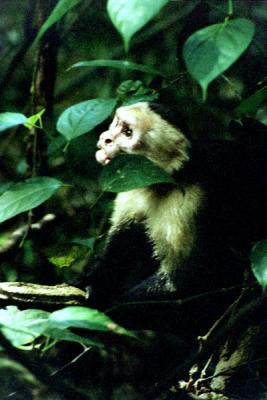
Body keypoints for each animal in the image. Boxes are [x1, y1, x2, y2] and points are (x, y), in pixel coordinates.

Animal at [85, 101, 267, 308]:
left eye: (128, 133)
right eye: (117, 124)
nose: (106, 138)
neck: (166, 181)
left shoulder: (187, 201)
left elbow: (180, 284)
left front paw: (111, 307)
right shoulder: (133, 183)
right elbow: (120, 247)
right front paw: (92, 287)